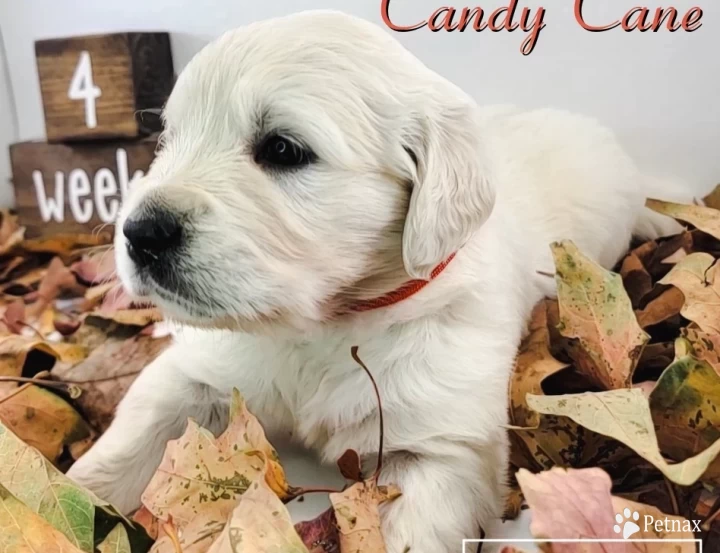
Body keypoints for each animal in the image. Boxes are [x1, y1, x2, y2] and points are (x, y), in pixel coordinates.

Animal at [67, 9, 680, 552]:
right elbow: (121, 448)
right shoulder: (195, 373)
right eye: (168, 139)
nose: (139, 232)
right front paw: (66, 499)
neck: (319, 327)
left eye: (283, 149)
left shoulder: (441, 451)